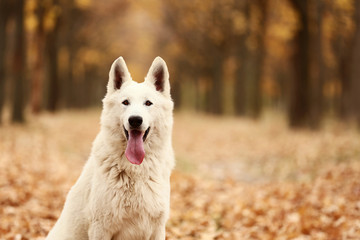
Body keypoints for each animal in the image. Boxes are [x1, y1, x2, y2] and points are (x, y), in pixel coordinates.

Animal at [45, 56, 175, 240]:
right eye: (125, 102)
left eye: (148, 103)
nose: (135, 120)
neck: (135, 171)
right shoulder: (101, 228)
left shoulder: (158, 228)